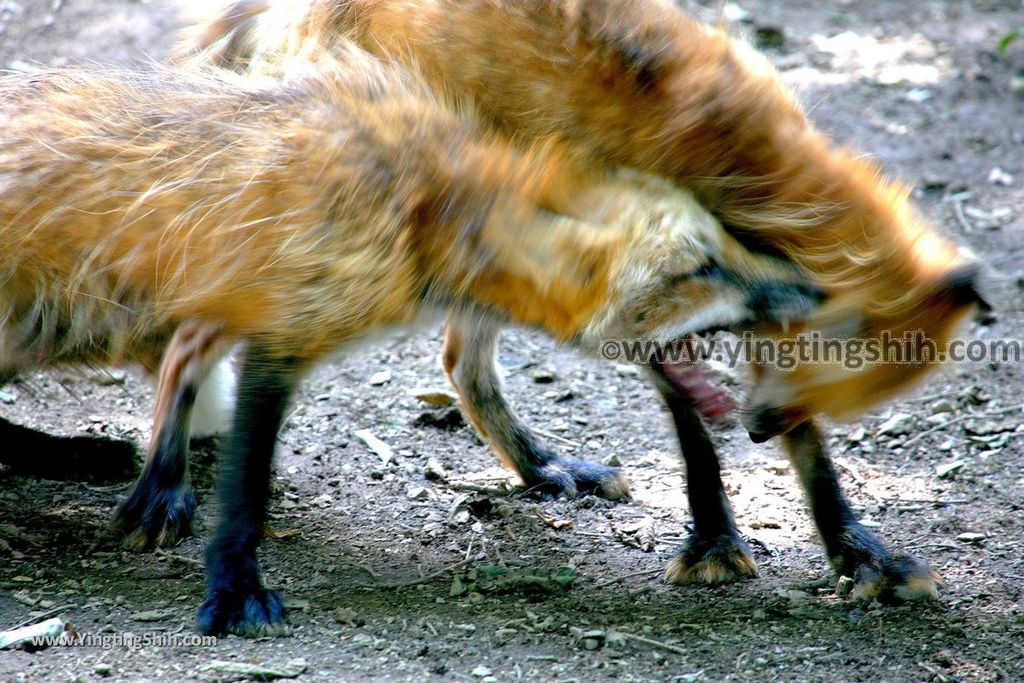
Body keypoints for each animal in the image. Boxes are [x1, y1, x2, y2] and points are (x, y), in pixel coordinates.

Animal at [0, 56, 819, 638]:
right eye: (699, 268)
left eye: (733, 245)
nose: (814, 288)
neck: (417, 204)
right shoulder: (281, 329)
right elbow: (247, 488)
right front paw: (232, 587)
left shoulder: (246, 304)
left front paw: (545, 467)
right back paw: (80, 458)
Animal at [178, 0, 991, 606]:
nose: (759, 431)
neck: (734, 165)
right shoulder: (640, 283)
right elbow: (694, 429)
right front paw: (714, 539)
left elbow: (812, 455)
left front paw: (857, 553)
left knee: (459, 362)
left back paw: (541, 468)